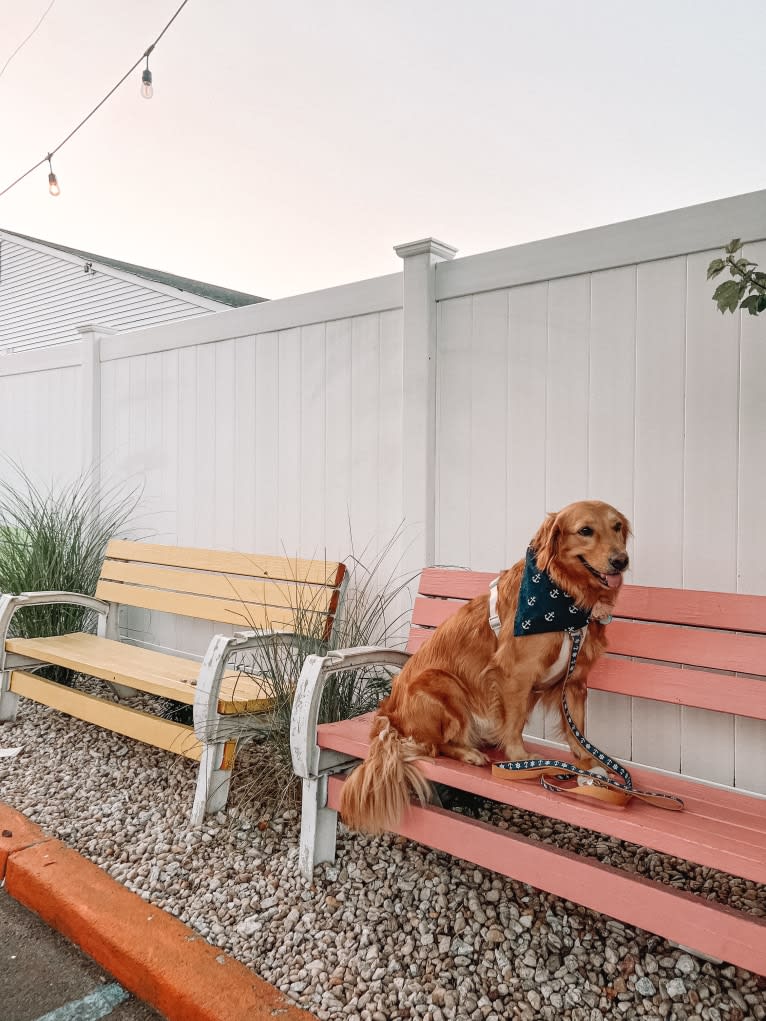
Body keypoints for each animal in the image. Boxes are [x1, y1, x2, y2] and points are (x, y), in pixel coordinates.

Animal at [339, 498, 633, 833]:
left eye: (617, 527)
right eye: (585, 530)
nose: (621, 561)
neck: (565, 602)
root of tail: (389, 715)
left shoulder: (575, 680)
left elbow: (578, 727)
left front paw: (589, 761)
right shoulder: (515, 673)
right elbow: (515, 723)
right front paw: (520, 759)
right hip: (443, 683)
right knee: (436, 745)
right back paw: (470, 753)